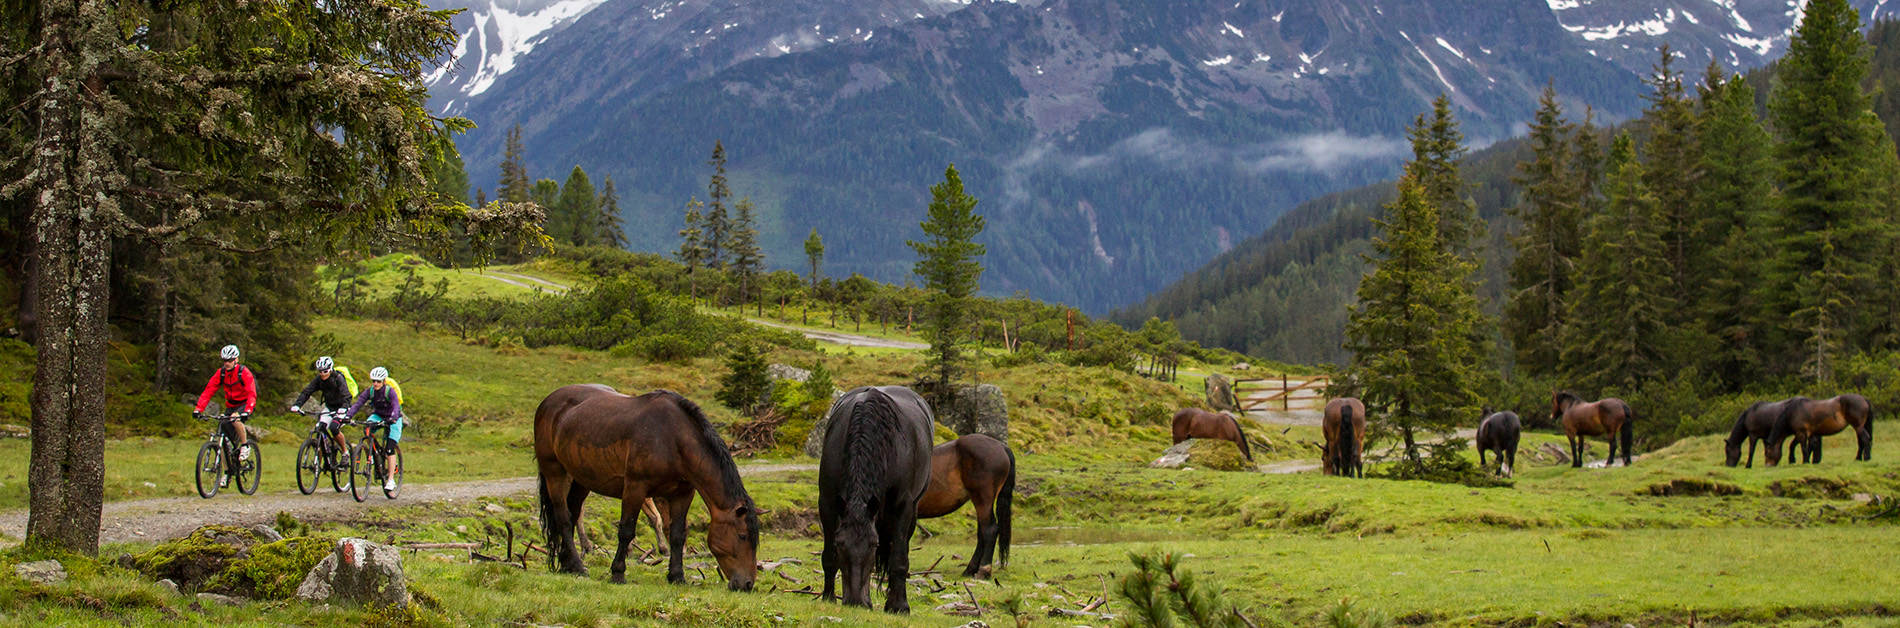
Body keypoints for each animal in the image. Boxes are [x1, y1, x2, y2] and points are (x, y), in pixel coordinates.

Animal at [532, 387, 760, 591]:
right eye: (742, 536)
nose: (747, 584)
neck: (672, 438)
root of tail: (547, 402)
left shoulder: (683, 494)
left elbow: (677, 534)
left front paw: (677, 576)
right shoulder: (635, 488)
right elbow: (626, 530)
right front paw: (618, 573)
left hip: (582, 479)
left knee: (572, 514)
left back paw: (568, 565)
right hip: (555, 472)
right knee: (563, 518)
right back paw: (579, 567)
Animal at [817, 387, 934, 610]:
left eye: (873, 544)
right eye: (840, 543)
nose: (855, 601)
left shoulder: (902, 506)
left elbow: (899, 559)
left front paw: (899, 606)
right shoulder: (827, 501)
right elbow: (828, 557)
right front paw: (827, 597)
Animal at [915, 436, 1018, 576]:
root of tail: (1002, 447)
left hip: (983, 501)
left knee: (989, 531)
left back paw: (983, 570)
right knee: (982, 534)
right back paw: (970, 569)